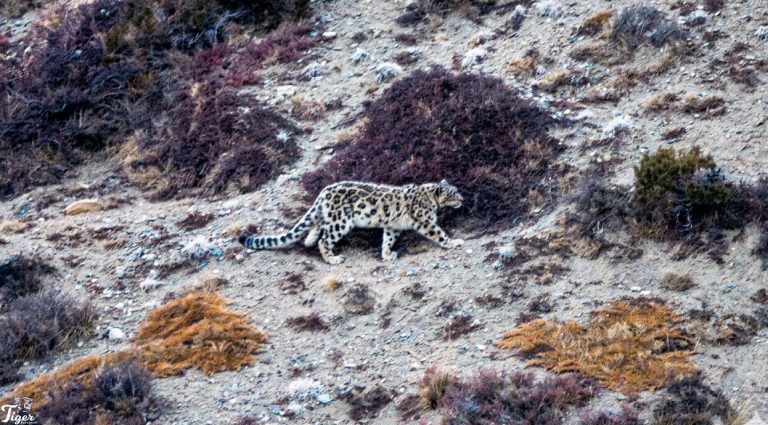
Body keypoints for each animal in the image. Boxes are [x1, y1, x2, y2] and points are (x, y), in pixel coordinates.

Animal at [238, 180, 464, 264]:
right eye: (453, 193)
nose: (462, 199)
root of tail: (324, 191)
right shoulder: (426, 221)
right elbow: (439, 233)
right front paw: (454, 242)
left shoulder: (392, 226)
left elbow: (388, 239)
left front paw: (387, 254)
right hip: (340, 222)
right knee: (325, 239)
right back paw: (332, 258)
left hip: (329, 216)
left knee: (316, 226)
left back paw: (309, 240)